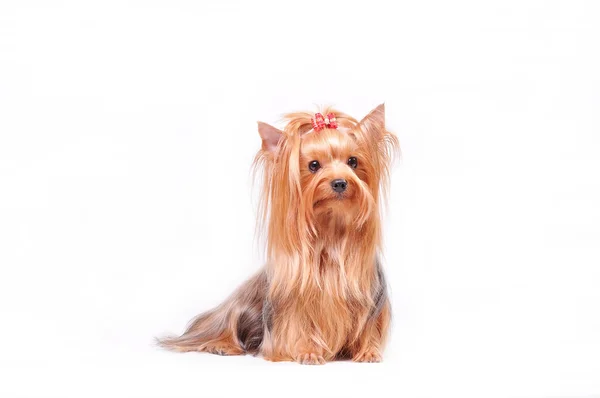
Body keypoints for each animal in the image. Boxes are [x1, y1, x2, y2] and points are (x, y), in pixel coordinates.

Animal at [161, 104, 398, 366]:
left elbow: (368, 327)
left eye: (353, 161)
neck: (331, 232)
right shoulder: (294, 304)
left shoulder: (370, 299)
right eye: (313, 165)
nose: (339, 182)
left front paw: (368, 351)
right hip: (238, 308)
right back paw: (221, 345)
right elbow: (298, 325)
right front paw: (308, 351)